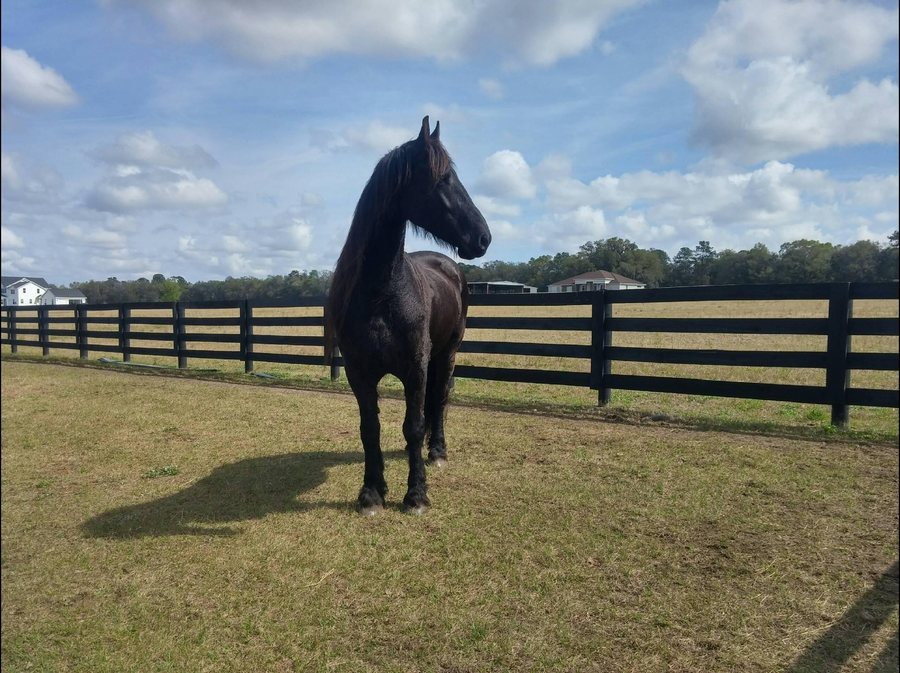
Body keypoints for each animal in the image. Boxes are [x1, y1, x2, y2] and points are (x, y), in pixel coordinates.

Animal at [324, 116, 491, 515]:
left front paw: (416, 495)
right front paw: (372, 493)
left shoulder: (415, 368)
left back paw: (437, 452)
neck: (381, 294)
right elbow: (370, 429)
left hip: (446, 355)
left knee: (440, 400)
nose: (483, 238)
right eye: (443, 179)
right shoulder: (359, 372)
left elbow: (414, 425)